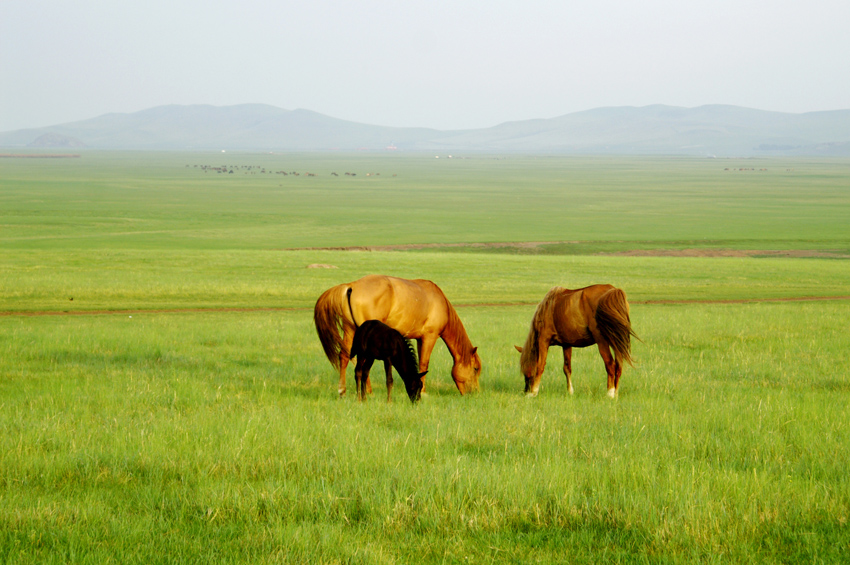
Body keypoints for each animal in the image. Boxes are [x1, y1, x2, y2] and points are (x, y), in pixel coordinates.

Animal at [314, 274, 480, 396]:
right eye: (476, 369)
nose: (475, 393)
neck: (440, 303)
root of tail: (352, 286)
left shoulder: (419, 339)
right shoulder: (430, 337)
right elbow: (424, 363)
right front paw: (423, 391)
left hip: (351, 330)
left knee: (344, 357)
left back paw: (343, 391)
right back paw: (367, 391)